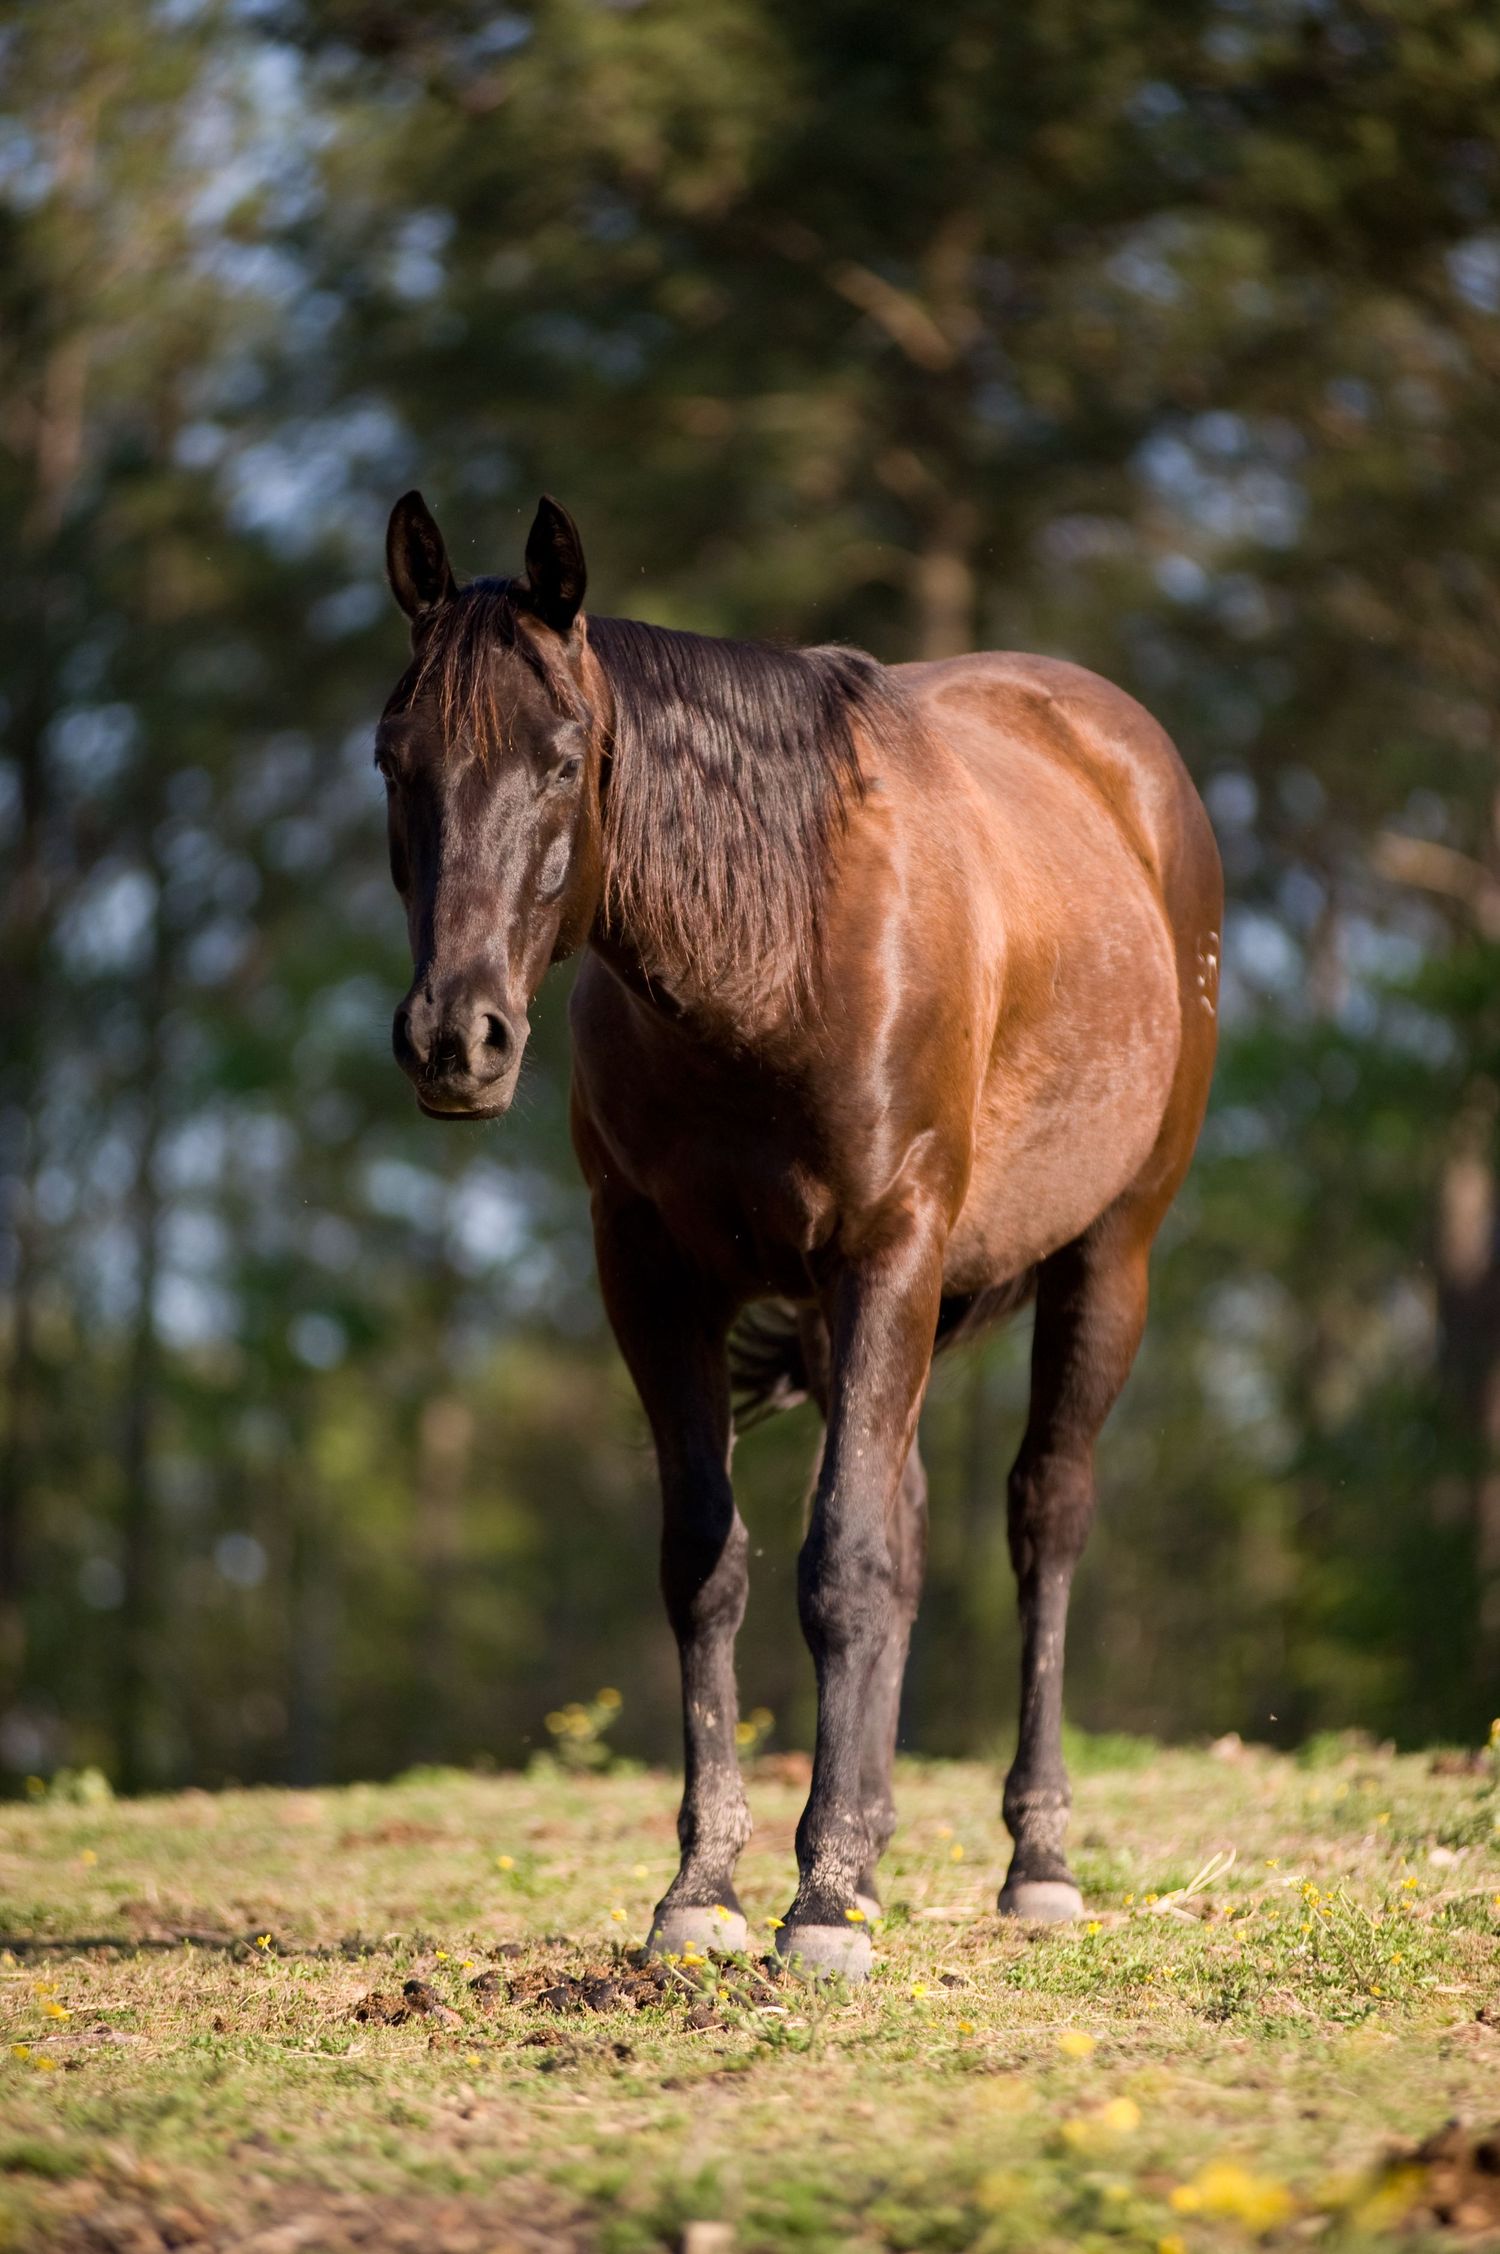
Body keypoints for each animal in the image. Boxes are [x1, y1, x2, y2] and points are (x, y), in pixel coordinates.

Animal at [376, 489, 1221, 1979]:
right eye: (391, 760)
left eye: (561, 760)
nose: (454, 1039)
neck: (779, 960)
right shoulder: (652, 1276)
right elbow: (710, 1564)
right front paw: (706, 1887)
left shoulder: (890, 1249)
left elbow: (847, 1565)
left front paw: (818, 1900)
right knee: (917, 1519)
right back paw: (878, 1846)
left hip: (1105, 1257)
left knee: (1042, 1518)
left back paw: (1037, 1861)